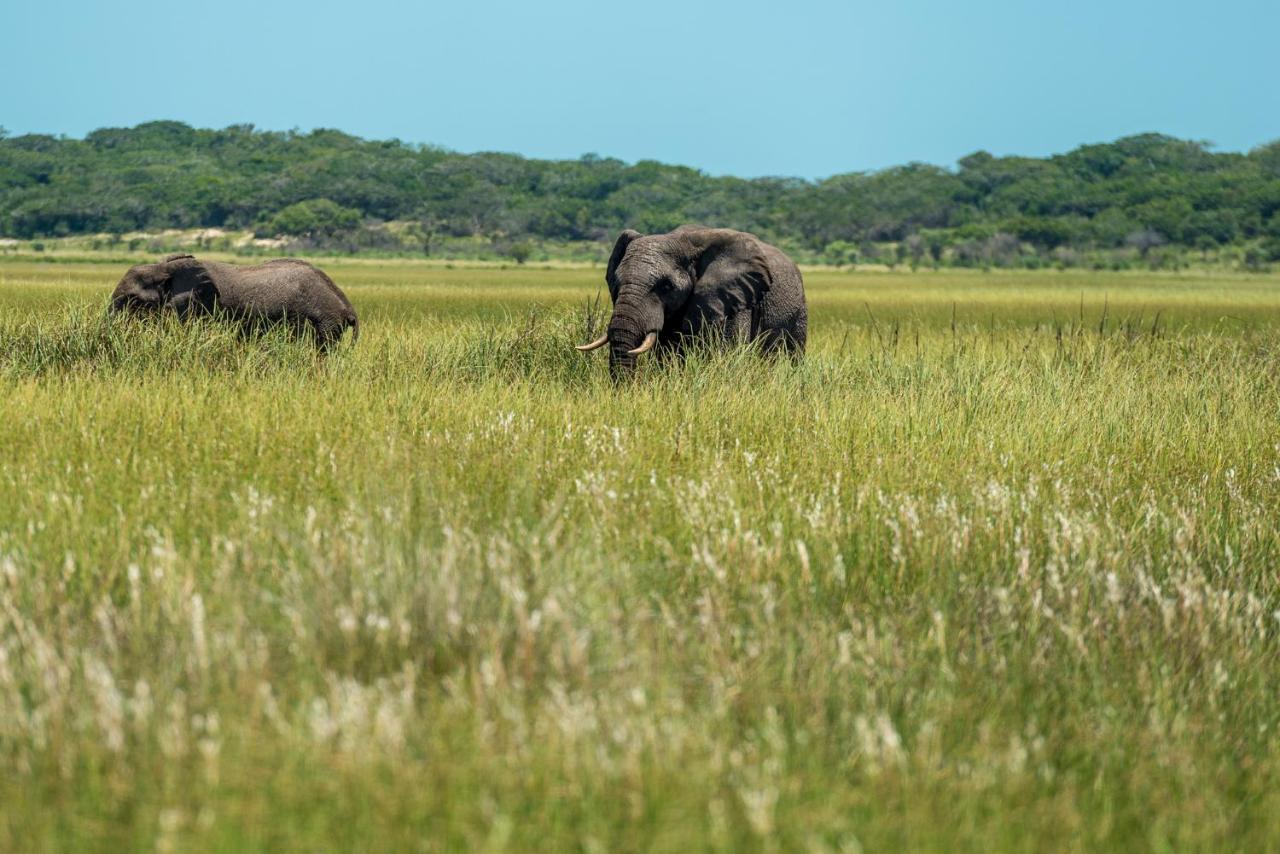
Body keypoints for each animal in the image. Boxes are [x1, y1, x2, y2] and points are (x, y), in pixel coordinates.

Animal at [576, 225, 803, 376]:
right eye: (616, 282)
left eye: (666, 287)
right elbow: (666, 355)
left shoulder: (736, 300)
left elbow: (728, 350)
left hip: (798, 312)